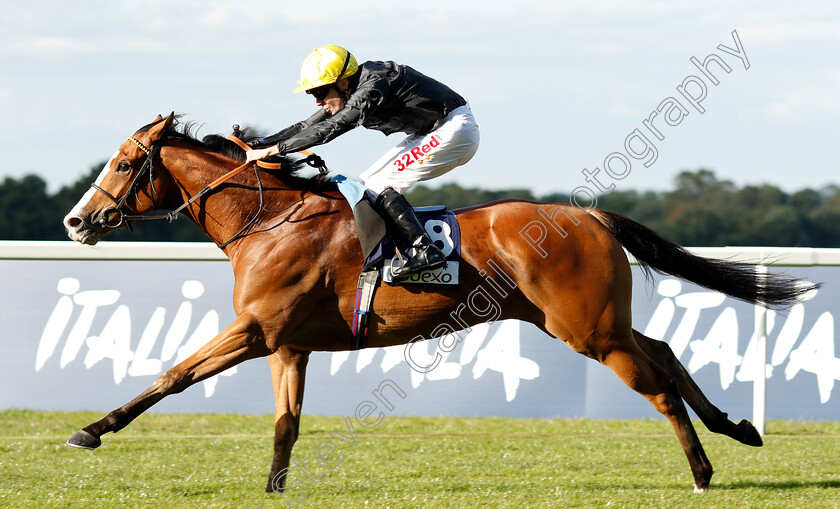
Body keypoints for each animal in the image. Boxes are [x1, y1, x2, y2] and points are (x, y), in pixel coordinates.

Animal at [62, 114, 816, 492]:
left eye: (125, 164)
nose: (76, 221)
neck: (269, 218)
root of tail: (590, 216)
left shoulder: (254, 329)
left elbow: (173, 374)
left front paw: (92, 429)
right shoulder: (288, 342)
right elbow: (285, 423)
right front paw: (275, 485)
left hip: (589, 330)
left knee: (657, 384)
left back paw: (703, 471)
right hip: (592, 322)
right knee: (662, 349)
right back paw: (734, 427)